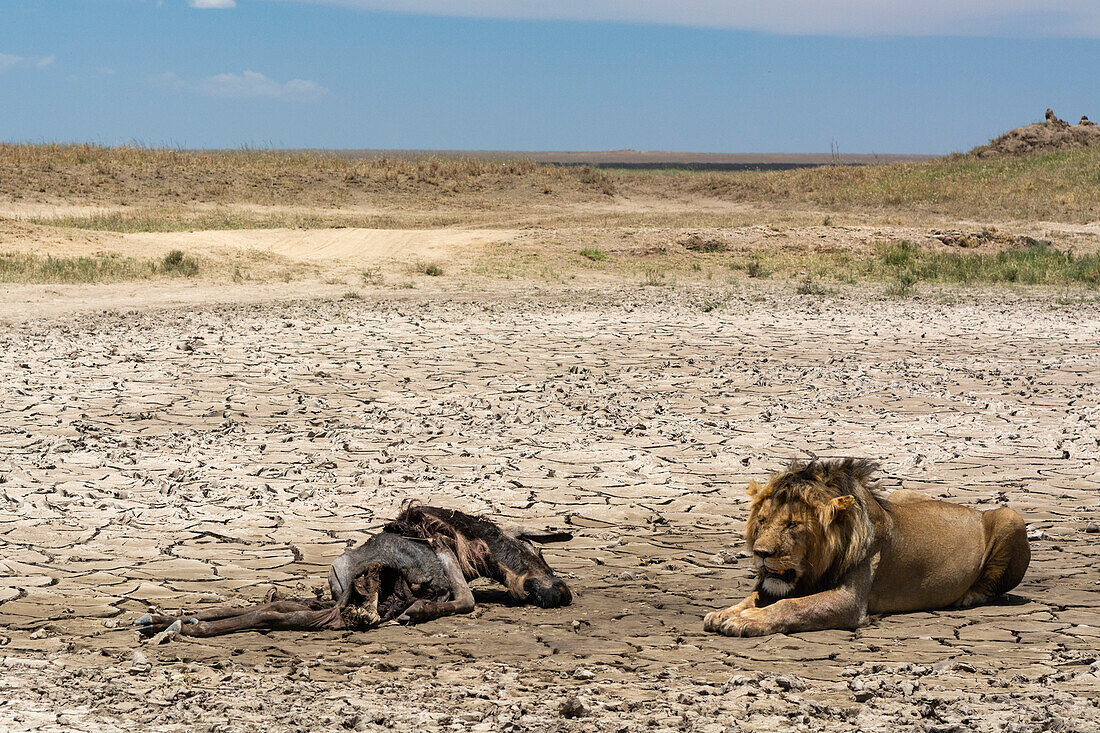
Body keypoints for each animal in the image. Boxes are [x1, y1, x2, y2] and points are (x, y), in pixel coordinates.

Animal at [704, 457, 1029, 633]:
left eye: (792, 525)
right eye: (762, 520)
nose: (760, 554)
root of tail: (973, 509)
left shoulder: (850, 601)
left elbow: (792, 606)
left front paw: (745, 621)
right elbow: (755, 597)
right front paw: (725, 613)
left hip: (1011, 516)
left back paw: (967, 596)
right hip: (900, 494)